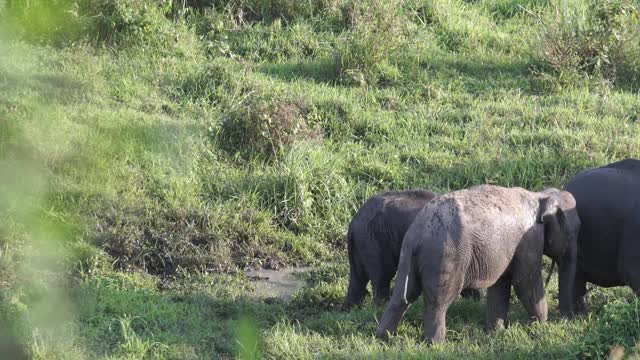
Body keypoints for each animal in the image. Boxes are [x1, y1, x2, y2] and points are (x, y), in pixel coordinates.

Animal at [344, 188, 480, 310]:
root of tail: (353, 224)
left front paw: (473, 301)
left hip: (362, 243)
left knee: (358, 279)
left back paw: (352, 309)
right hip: (374, 240)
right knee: (382, 275)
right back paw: (381, 306)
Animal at [376, 184, 580, 344]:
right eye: (572, 235)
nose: (567, 319)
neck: (540, 196)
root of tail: (417, 233)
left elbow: (501, 285)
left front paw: (496, 333)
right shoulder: (529, 240)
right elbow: (525, 283)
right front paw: (541, 327)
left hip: (408, 256)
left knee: (402, 296)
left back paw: (383, 338)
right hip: (446, 256)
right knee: (439, 301)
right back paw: (437, 345)